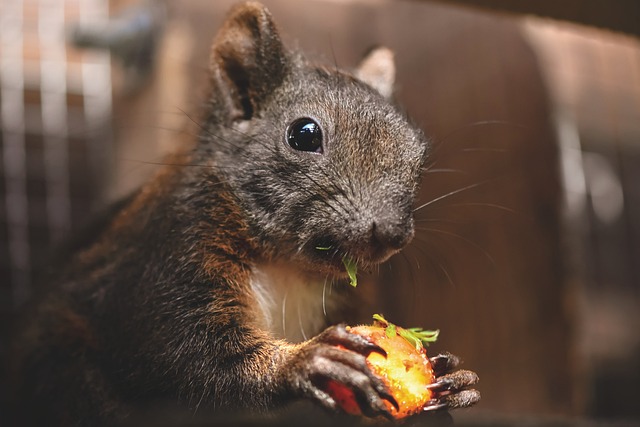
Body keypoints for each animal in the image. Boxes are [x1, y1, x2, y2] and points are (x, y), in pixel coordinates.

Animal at [10, 2, 479, 425]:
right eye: (303, 134)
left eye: (419, 154)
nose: (393, 233)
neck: (286, 266)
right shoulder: (169, 261)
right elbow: (194, 357)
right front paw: (303, 363)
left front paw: (454, 380)